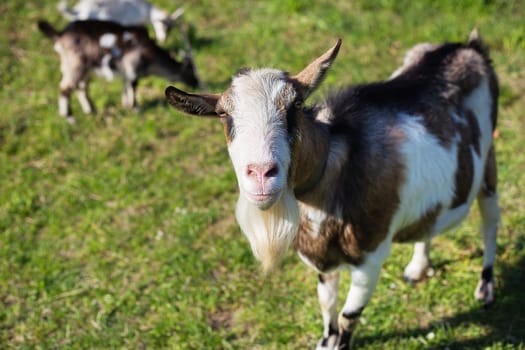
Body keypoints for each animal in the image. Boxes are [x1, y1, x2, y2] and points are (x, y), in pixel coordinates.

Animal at [37, 19, 199, 123]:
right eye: (191, 72)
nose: (197, 84)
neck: (151, 55)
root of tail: (60, 35)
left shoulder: (126, 71)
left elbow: (126, 86)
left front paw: (126, 104)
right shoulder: (133, 66)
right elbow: (133, 85)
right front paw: (135, 108)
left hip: (83, 67)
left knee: (81, 87)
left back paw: (90, 110)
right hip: (75, 65)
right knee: (65, 88)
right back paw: (69, 117)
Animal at [164, 30, 500, 350]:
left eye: (296, 104)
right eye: (223, 114)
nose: (261, 173)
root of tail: (466, 46)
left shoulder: (371, 255)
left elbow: (349, 314)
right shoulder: (320, 255)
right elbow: (327, 304)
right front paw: (326, 341)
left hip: (489, 162)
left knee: (490, 220)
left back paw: (485, 289)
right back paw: (418, 267)